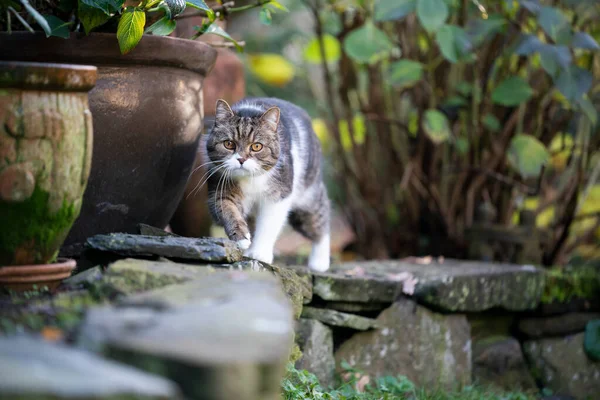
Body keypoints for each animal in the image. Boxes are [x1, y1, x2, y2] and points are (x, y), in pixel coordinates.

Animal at [204, 97, 330, 272]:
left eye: (257, 146)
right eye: (229, 144)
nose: (241, 159)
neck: (250, 180)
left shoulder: (278, 196)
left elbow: (268, 225)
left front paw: (260, 252)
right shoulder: (221, 190)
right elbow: (229, 212)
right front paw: (242, 238)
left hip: (307, 200)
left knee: (320, 220)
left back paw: (319, 262)